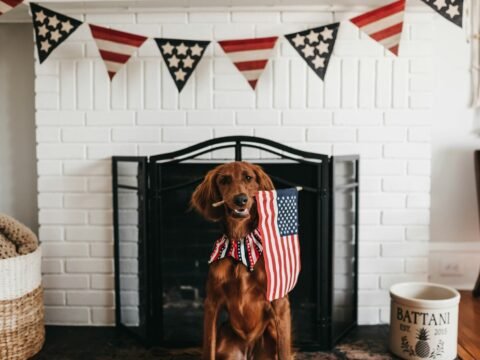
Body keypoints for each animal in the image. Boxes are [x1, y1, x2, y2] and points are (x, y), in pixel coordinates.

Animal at [191, 162, 292, 360]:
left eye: (248, 178)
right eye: (224, 180)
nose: (240, 200)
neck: (240, 244)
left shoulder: (280, 303)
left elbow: (285, 351)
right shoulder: (212, 303)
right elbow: (208, 349)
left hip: (271, 332)